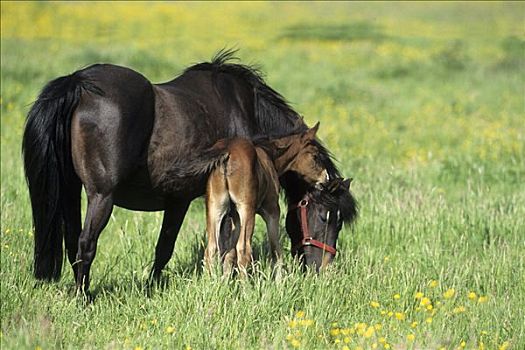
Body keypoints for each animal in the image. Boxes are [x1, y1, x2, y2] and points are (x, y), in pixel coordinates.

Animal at [203, 123, 326, 274]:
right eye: (315, 156)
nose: (326, 177)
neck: (270, 156)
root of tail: (228, 153)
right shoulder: (272, 211)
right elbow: (276, 252)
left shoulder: (235, 216)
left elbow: (229, 253)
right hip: (246, 209)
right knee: (244, 249)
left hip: (215, 207)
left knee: (211, 249)